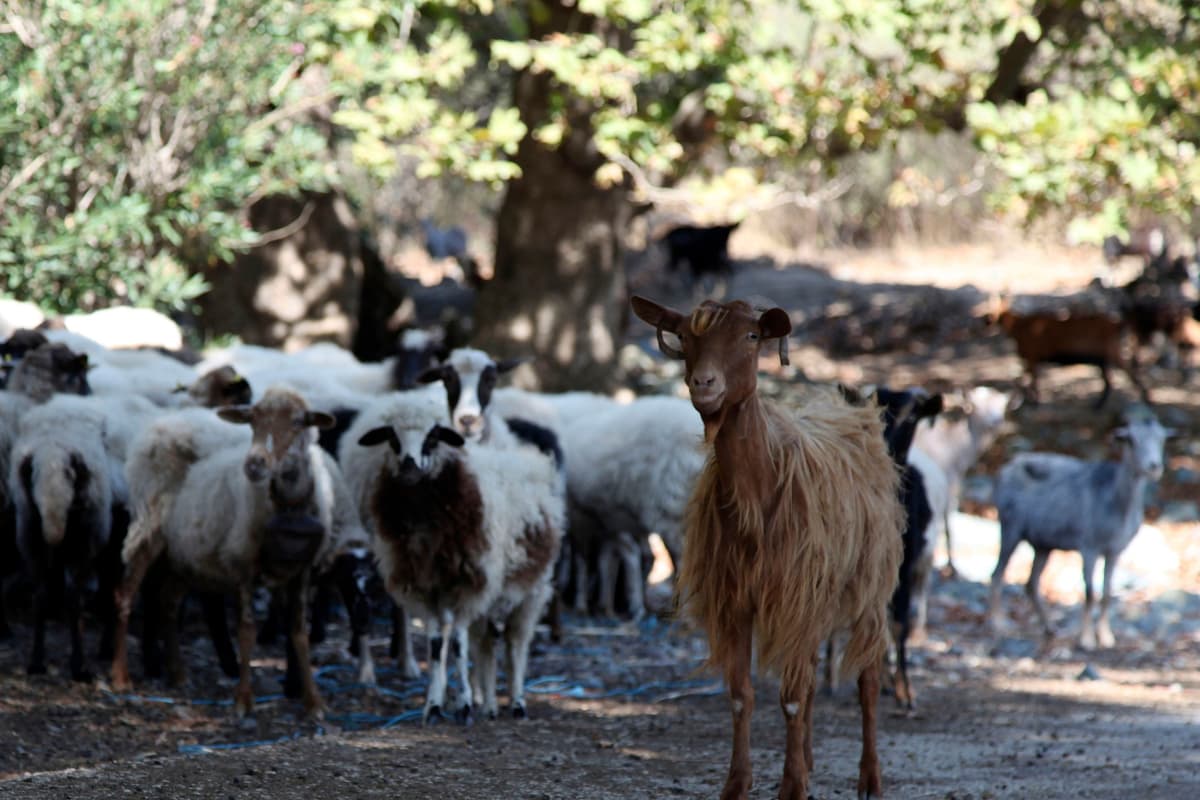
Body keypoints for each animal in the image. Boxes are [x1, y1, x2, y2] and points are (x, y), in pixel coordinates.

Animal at [631, 295, 903, 800]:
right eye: (685, 337)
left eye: (752, 336)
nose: (704, 383)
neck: (759, 487)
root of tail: (854, 413)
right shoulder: (737, 600)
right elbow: (743, 695)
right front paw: (739, 783)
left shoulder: (794, 594)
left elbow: (791, 698)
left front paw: (792, 786)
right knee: (812, 673)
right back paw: (812, 760)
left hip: (869, 586)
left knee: (869, 679)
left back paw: (870, 778)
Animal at [988, 413, 1169, 650]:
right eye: (1131, 440)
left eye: (1161, 439)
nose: (1154, 466)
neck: (1116, 503)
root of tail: (1002, 472)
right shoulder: (1088, 546)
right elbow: (1090, 593)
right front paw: (1087, 640)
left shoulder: (1115, 551)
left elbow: (1107, 593)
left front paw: (1107, 637)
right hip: (1010, 528)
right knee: (997, 574)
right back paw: (998, 625)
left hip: (1043, 545)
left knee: (1031, 584)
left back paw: (1050, 628)